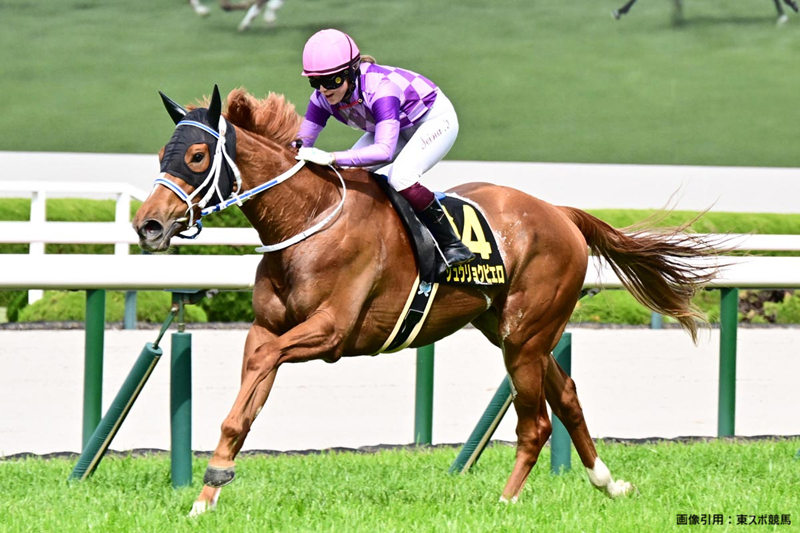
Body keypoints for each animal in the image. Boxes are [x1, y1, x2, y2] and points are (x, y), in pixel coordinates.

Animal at [133, 85, 723, 517]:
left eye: (197, 155)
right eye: (162, 154)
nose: (148, 226)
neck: (307, 221)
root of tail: (560, 213)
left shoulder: (330, 332)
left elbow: (262, 365)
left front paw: (213, 482)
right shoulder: (266, 327)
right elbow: (245, 404)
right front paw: (206, 496)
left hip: (525, 336)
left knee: (535, 423)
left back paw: (506, 502)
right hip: (514, 333)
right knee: (569, 396)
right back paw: (608, 483)